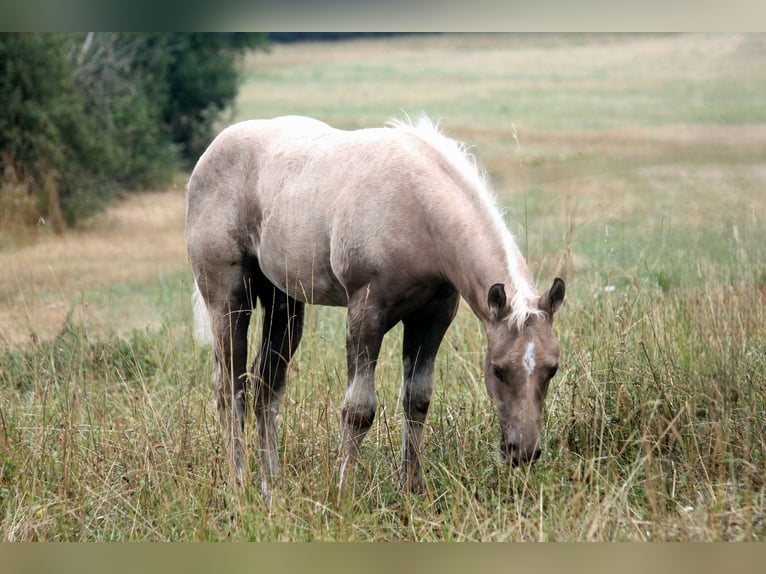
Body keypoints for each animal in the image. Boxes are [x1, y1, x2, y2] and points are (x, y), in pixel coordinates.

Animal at [185, 115, 565, 495]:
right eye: (498, 369)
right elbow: (359, 408)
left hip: (285, 303)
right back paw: (239, 485)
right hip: (229, 300)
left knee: (267, 388)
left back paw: (271, 487)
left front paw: (411, 489)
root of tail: (209, 154)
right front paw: (345, 492)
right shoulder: (366, 312)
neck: (415, 206)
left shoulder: (433, 316)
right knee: (230, 388)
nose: (523, 451)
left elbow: (417, 400)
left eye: (552, 369)